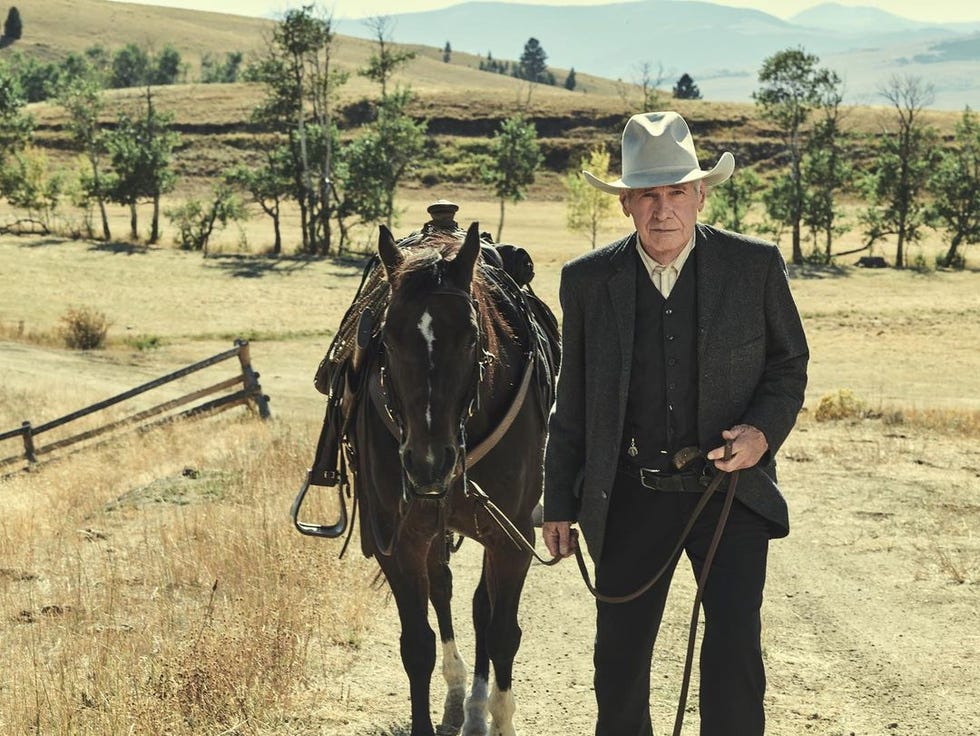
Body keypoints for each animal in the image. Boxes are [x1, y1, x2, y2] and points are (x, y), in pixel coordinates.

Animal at [348, 223, 556, 736]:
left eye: (469, 337)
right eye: (388, 338)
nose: (427, 463)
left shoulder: (512, 536)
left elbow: (502, 632)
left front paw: (501, 716)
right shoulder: (398, 541)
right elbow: (416, 644)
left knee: (482, 609)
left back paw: (478, 706)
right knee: (442, 589)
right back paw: (459, 691)